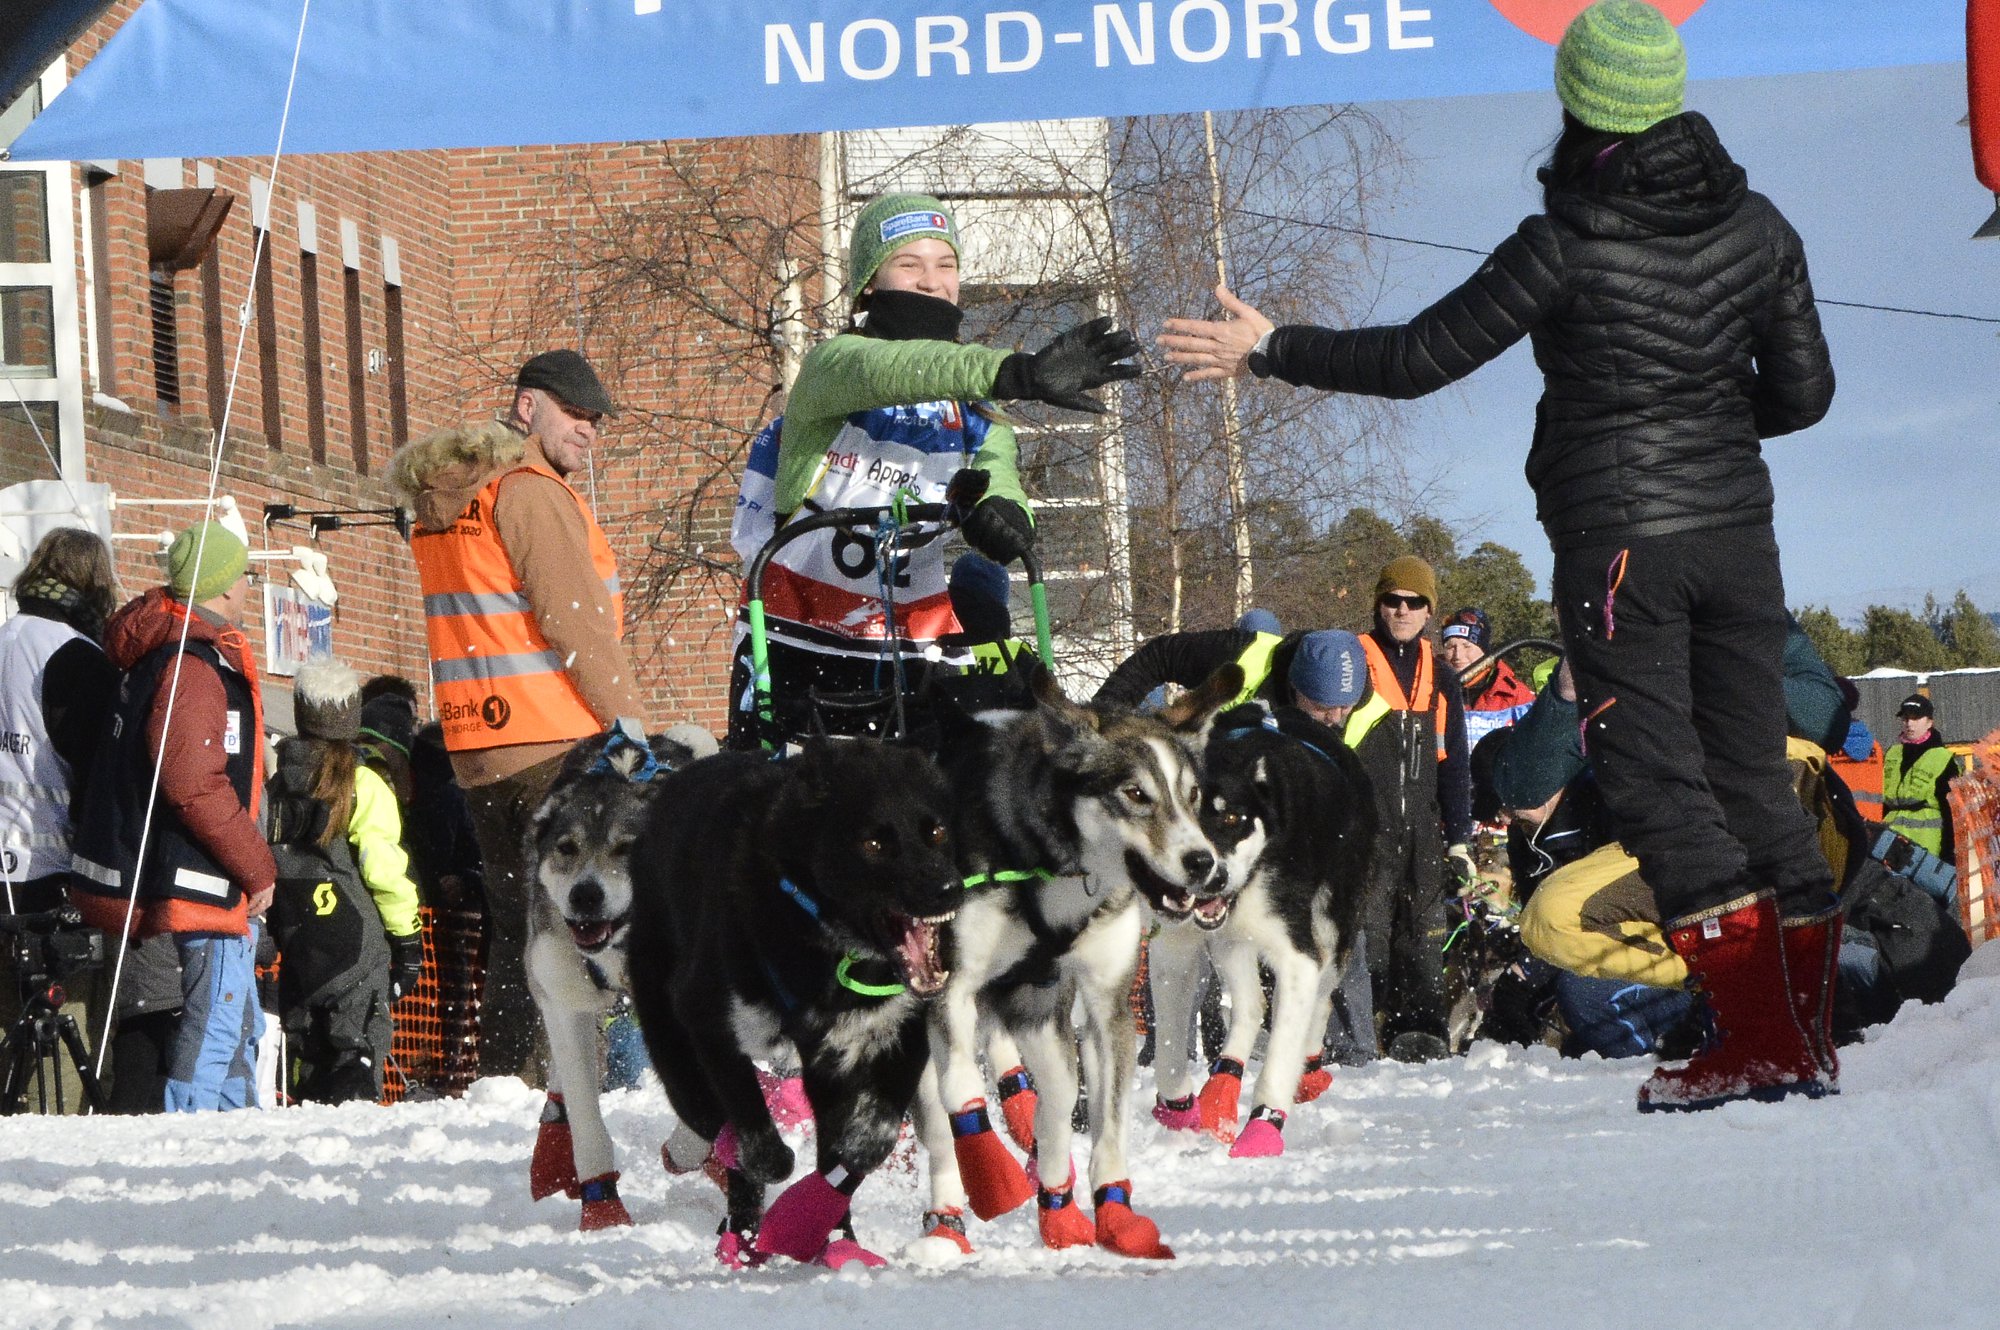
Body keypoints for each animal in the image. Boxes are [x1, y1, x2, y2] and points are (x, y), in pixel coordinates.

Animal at [524, 720, 720, 1232]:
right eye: (567, 848)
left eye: (627, 848)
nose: (584, 895)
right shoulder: (564, 1000)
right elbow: (586, 1116)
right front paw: (604, 1213)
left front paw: (689, 1150)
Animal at [628, 736, 964, 1264]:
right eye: (873, 844)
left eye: (936, 831)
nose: (947, 889)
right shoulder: (709, 1022)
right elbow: (751, 1125)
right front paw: (767, 1164)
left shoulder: (897, 1029)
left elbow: (868, 1139)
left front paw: (830, 1196)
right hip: (666, 1025)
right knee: (703, 1111)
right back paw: (742, 1228)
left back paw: (832, 1240)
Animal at [916, 668, 1240, 1264]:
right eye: (1134, 794)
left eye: (1192, 796)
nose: (1203, 863)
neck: (1057, 867)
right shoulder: (951, 989)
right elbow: (961, 1091)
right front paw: (993, 1179)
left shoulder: (1106, 1002)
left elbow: (1105, 1120)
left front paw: (1112, 1215)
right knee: (942, 1120)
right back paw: (947, 1224)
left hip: (1039, 1008)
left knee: (1056, 1091)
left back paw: (1055, 1202)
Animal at [1152, 704, 1384, 1152]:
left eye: (1231, 817)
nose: (1213, 876)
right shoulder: (1176, 947)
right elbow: (1170, 1048)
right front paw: (1180, 1105)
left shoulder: (1297, 955)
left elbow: (1281, 1049)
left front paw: (1264, 1123)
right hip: (1232, 943)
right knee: (1249, 1006)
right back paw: (1222, 1086)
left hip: (1333, 925)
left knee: (1319, 998)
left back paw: (1306, 1068)